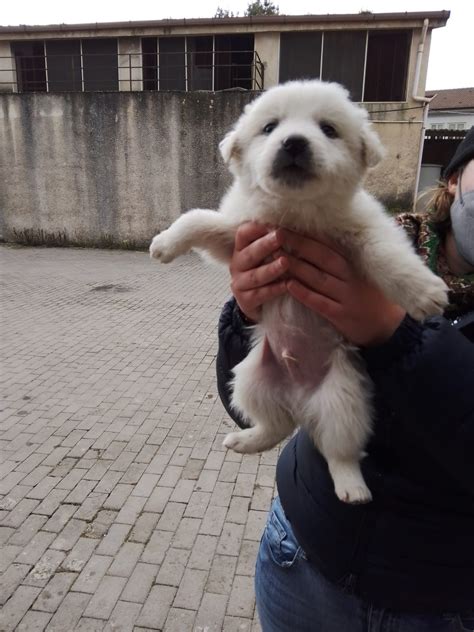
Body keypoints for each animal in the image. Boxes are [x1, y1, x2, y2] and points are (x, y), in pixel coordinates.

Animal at [151, 80, 448, 504]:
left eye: (328, 129)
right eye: (270, 127)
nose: (293, 142)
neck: (294, 214)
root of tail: (299, 401)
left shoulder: (363, 231)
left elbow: (387, 255)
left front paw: (424, 292)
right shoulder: (238, 234)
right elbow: (198, 218)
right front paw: (164, 244)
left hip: (344, 399)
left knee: (339, 452)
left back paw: (352, 487)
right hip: (251, 379)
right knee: (275, 427)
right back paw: (246, 440)